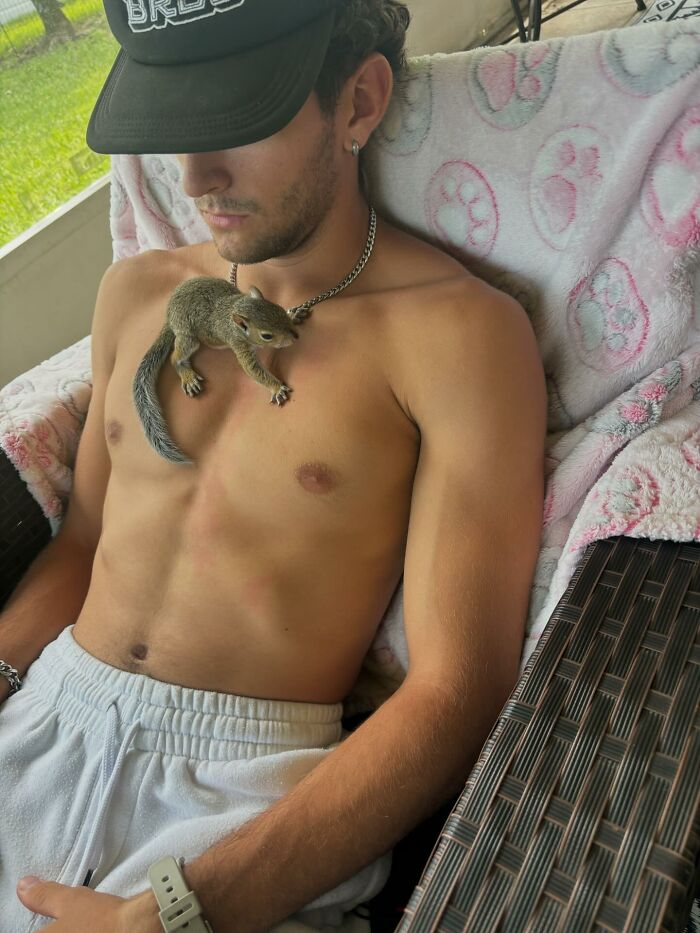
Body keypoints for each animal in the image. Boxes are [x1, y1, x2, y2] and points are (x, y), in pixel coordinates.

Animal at [133, 274, 300, 466]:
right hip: (189, 337)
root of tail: (169, 315)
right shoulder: (238, 345)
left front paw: (294, 314)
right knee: (175, 357)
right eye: (266, 336)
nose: (295, 336)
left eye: (278, 308)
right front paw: (276, 388)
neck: (234, 309)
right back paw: (187, 376)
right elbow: (253, 370)